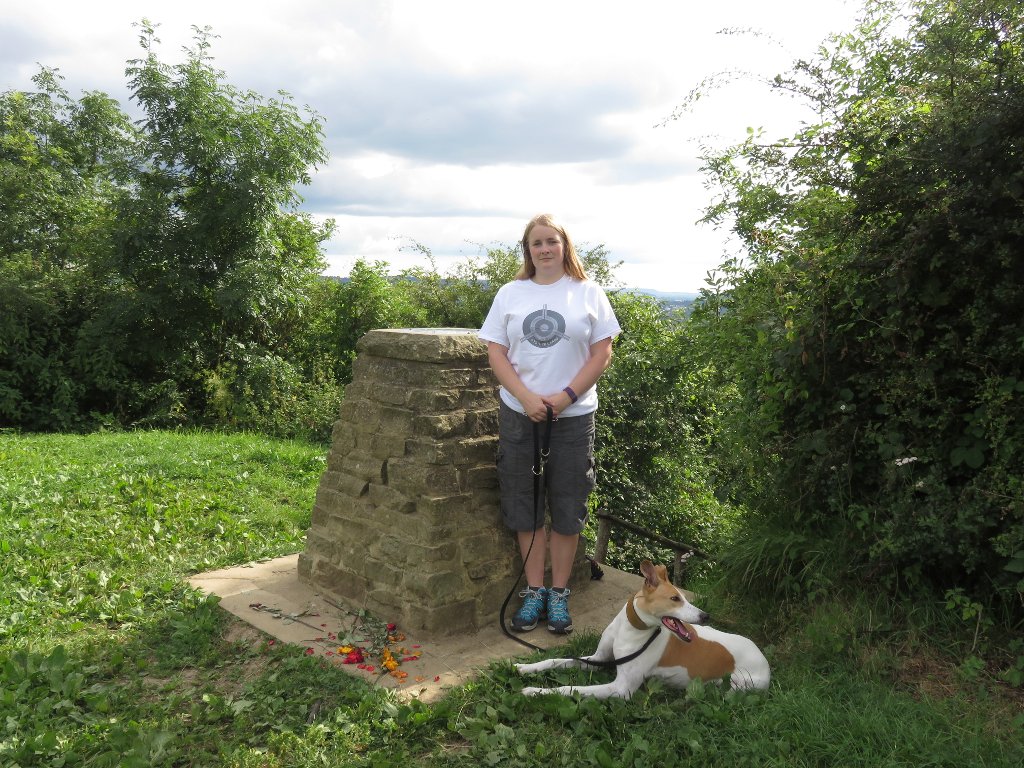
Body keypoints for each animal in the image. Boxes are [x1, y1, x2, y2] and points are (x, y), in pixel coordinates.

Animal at [520, 561, 770, 700]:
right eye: (675, 598)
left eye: (683, 597)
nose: (705, 616)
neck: (631, 629)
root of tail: (764, 659)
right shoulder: (600, 658)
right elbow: (555, 660)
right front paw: (524, 668)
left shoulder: (622, 689)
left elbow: (572, 689)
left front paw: (535, 691)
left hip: (741, 684)